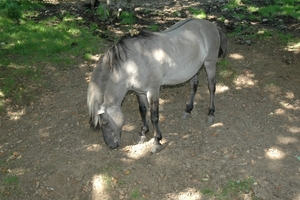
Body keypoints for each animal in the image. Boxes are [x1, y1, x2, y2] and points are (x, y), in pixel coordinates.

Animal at [86, 19, 227, 153]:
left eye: (105, 122)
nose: (111, 145)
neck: (133, 63)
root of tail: (212, 25)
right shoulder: (140, 92)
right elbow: (143, 111)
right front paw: (143, 134)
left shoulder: (153, 91)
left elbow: (154, 116)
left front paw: (157, 142)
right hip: (194, 69)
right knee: (194, 85)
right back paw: (188, 110)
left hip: (210, 63)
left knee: (211, 87)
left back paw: (211, 113)